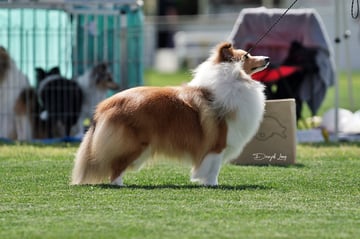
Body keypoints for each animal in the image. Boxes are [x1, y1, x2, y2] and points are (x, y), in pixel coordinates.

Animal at [71, 42, 270, 185]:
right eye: (246, 56)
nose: (267, 58)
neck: (235, 80)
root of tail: (104, 106)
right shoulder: (217, 145)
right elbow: (213, 168)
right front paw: (213, 185)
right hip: (133, 144)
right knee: (116, 166)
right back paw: (119, 184)